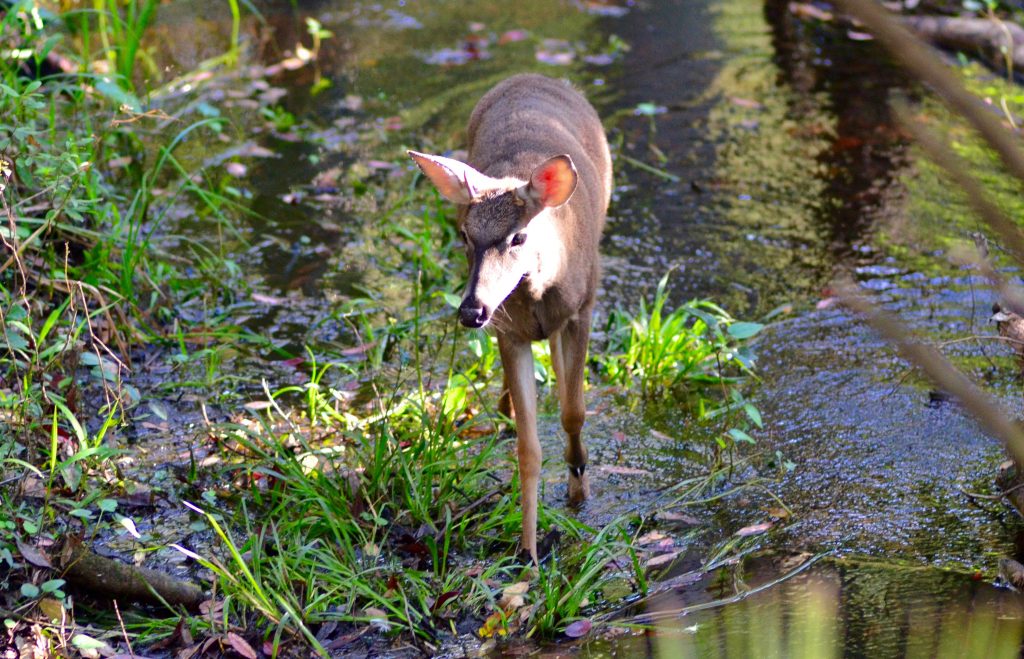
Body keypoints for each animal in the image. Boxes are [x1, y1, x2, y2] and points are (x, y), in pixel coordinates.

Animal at [408, 73, 611, 563]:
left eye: (518, 236)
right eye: (465, 234)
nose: (471, 309)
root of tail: (532, 76)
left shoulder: (583, 308)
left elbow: (574, 411)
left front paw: (579, 486)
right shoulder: (509, 331)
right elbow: (528, 448)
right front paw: (528, 552)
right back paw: (503, 406)